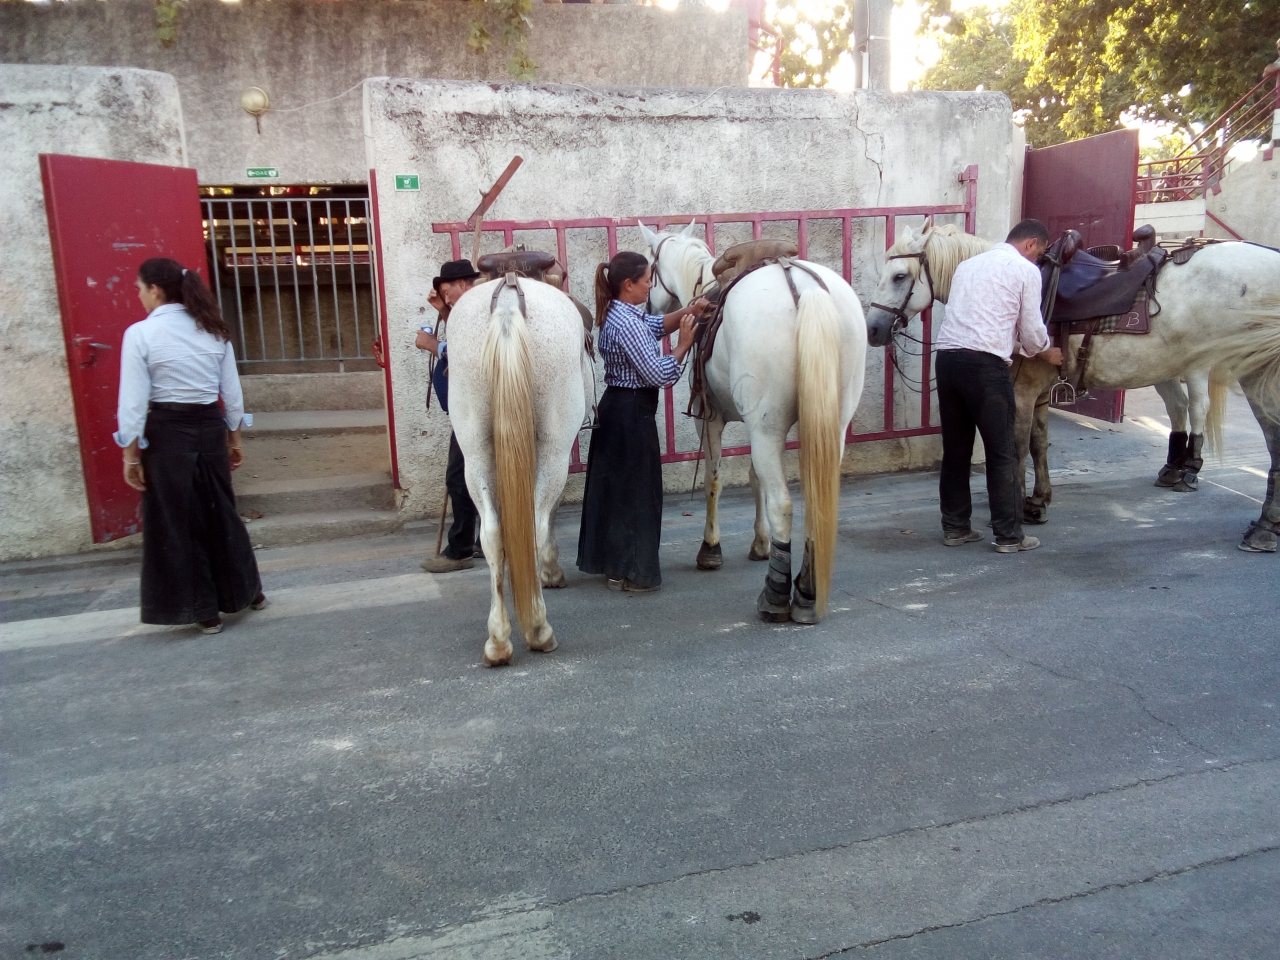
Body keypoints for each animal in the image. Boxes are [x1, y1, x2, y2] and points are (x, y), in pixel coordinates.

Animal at [444, 275, 594, 665]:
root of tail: (509, 300)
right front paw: (550, 572)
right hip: (554, 446)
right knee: (535, 524)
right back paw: (540, 630)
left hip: (476, 449)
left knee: (492, 534)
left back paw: (498, 641)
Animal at [639, 222, 869, 622]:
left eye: (650, 265)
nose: (648, 309)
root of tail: (806, 291)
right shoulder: (754, 425)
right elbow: (754, 479)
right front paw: (761, 543)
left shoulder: (711, 421)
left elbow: (714, 482)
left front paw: (710, 548)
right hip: (829, 427)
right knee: (815, 499)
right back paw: (806, 591)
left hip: (767, 430)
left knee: (784, 504)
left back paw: (775, 598)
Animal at [864, 221, 1280, 553]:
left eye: (899, 276)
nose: (873, 329)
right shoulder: (1038, 395)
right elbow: (1039, 444)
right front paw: (1038, 502)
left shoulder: (1022, 392)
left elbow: (1016, 449)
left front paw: (1018, 509)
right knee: (1181, 409)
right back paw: (1179, 472)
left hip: (1231, 369)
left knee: (1210, 412)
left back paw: (1231, 503)